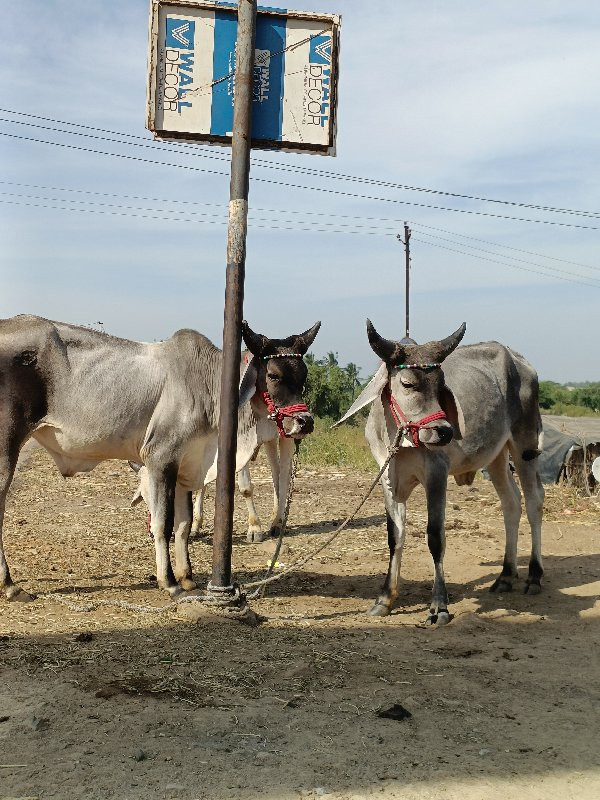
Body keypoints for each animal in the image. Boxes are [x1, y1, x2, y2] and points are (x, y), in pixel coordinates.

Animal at [0, 314, 322, 600]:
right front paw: (169, 581)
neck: (210, 387)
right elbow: (163, 524)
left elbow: (183, 525)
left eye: (304, 376)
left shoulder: (185, 465)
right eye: (273, 375)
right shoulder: (160, 459)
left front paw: (187, 577)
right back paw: (10, 585)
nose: (304, 422)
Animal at [336, 318, 548, 624]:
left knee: (534, 502)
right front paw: (385, 598)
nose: (445, 431)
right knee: (511, 503)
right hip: (496, 456)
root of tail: (522, 362)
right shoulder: (388, 480)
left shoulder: (436, 474)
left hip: (524, 445)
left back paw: (534, 575)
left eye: (441, 385)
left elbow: (435, 537)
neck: (400, 439)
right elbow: (394, 536)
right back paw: (506, 575)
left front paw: (439, 606)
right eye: (408, 383)